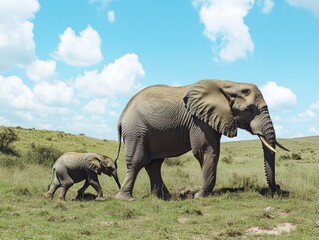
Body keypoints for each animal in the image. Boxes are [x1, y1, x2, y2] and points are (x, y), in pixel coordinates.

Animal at [115, 80, 290, 201]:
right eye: (249, 110)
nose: (279, 189)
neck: (230, 85)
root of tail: (122, 115)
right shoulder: (198, 120)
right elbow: (205, 152)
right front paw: (200, 196)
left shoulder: (213, 119)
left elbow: (214, 152)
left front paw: (201, 195)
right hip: (137, 131)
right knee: (138, 161)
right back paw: (126, 199)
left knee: (154, 164)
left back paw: (164, 198)